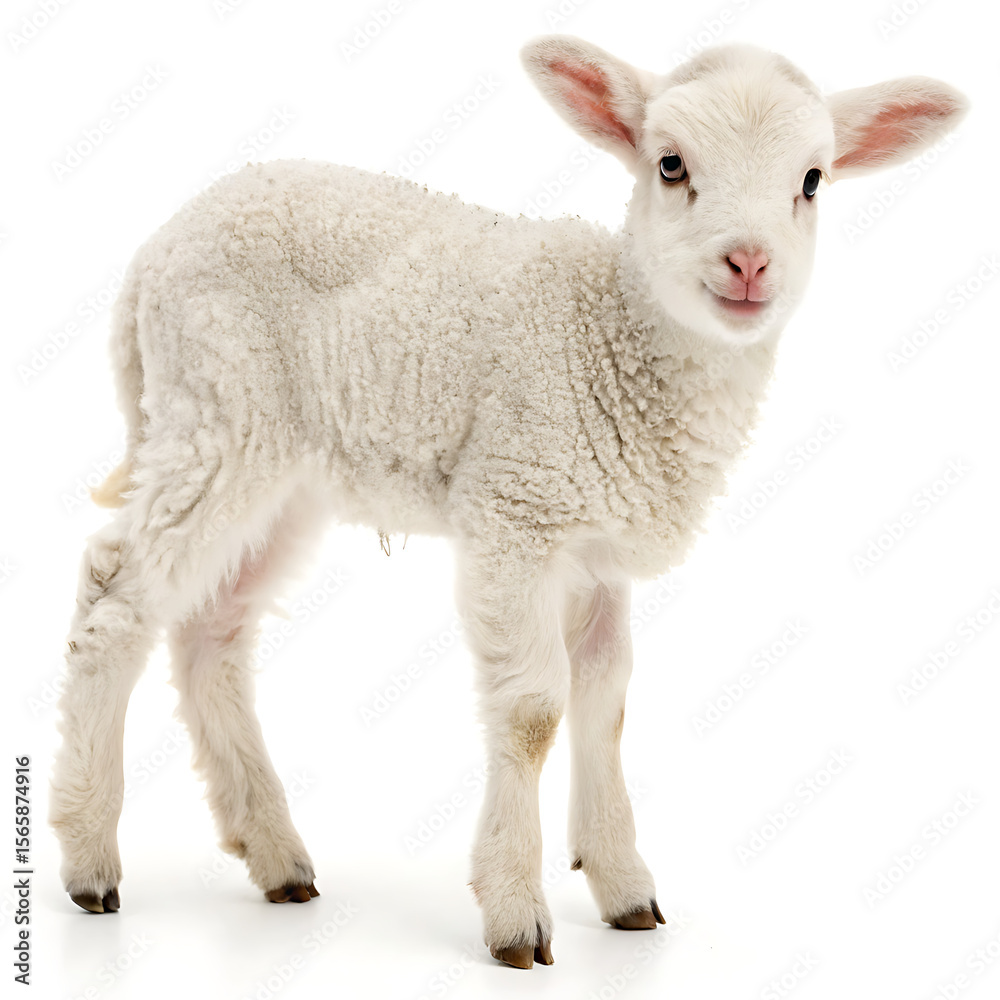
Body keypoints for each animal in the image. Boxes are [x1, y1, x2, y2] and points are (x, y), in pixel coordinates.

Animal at [50, 33, 966, 968]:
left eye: (813, 180)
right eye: (671, 164)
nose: (749, 263)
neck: (613, 334)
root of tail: (154, 253)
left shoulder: (596, 543)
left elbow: (607, 699)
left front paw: (623, 885)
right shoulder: (515, 506)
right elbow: (533, 712)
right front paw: (517, 912)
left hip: (288, 471)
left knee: (213, 631)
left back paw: (275, 856)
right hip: (219, 412)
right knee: (116, 597)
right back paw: (89, 857)